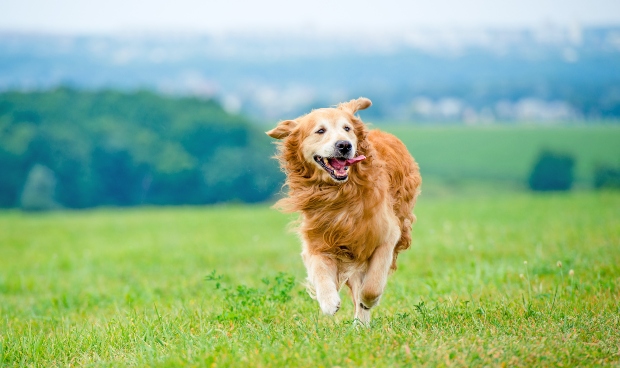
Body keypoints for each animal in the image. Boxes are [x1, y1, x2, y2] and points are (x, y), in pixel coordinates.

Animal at [266, 98, 422, 324]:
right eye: (320, 130)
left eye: (347, 128)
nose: (344, 145)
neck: (339, 193)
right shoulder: (317, 240)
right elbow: (320, 271)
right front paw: (328, 301)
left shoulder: (387, 235)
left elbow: (372, 284)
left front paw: (368, 300)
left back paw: (361, 321)